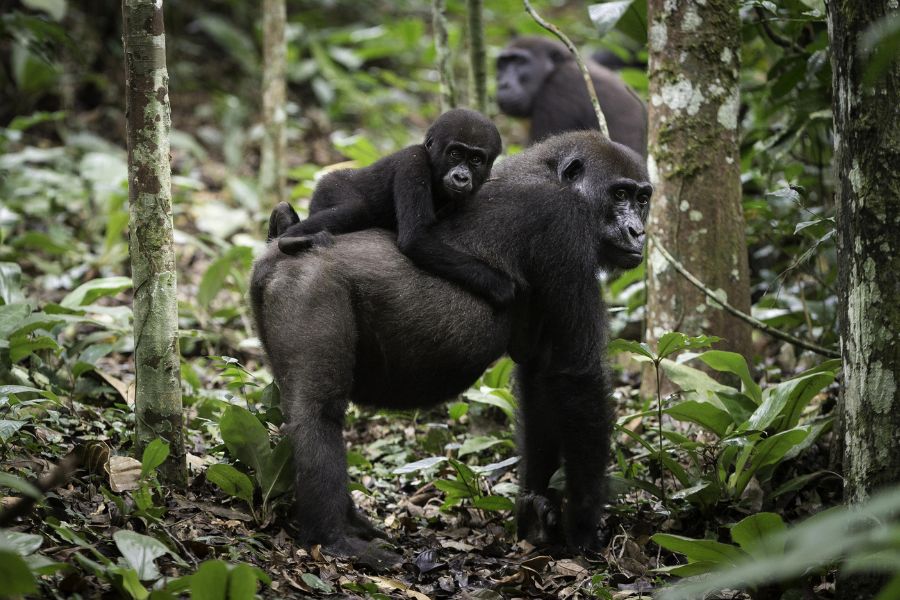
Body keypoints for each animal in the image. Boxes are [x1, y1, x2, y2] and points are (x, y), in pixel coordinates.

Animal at [250, 131, 651, 561]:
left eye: (643, 199)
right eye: (620, 194)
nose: (638, 232)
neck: (550, 172)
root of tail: (274, 253)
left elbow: (540, 378)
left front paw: (535, 511)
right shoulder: (565, 226)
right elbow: (578, 377)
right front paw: (583, 527)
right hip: (311, 286)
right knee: (318, 413)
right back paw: (332, 538)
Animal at [269, 108, 514, 308]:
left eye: (476, 159)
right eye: (455, 154)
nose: (461, 177)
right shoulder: (413, 163)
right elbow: (416, 239)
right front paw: (500, 285)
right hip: (329, 187)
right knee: (356, 209)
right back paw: (290, 238)